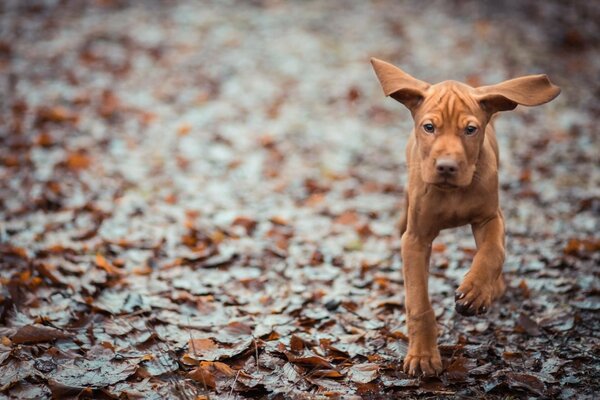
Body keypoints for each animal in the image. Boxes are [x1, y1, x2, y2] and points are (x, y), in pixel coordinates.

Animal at [370, 57, 564, 376]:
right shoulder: (416, 239)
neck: (453, 193)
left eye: (470, 129)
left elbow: (492, 252)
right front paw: (423, 356)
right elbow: (419, 301)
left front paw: (475, 291)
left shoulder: (490, 218)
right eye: (429, 127)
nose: (447, 167)